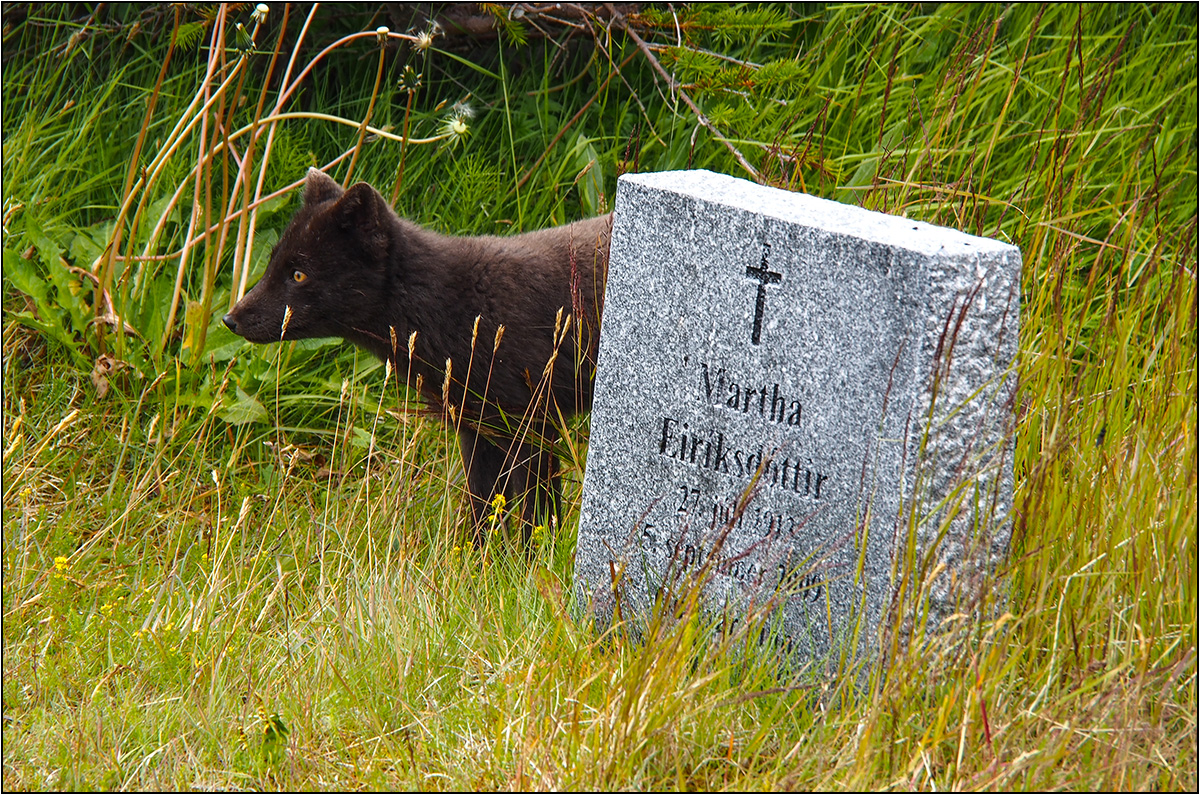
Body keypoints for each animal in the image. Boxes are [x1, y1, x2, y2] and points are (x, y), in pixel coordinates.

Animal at [225, 166, 614, 542]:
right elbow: (483, 507)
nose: (230, 319)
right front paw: (479, 559)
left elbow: (537, 511)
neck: (454, 307)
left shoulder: (533, 421)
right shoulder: (476, 427)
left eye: (298, 274)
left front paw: (537, 557)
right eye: (271, 262)